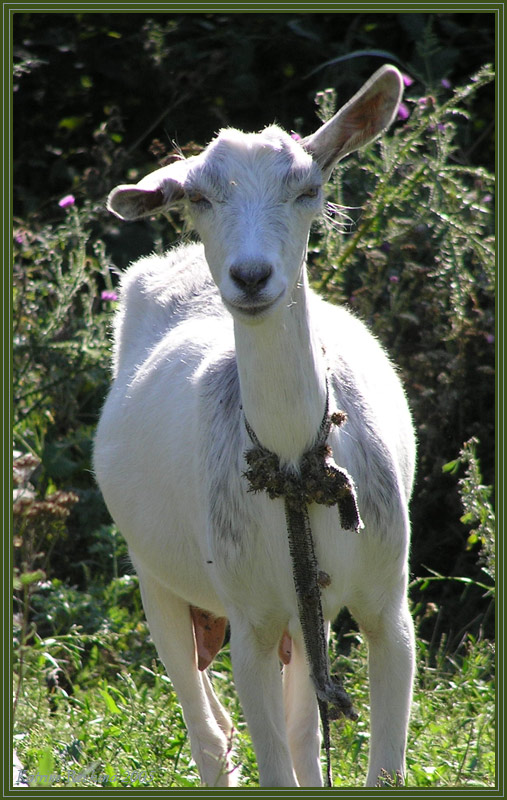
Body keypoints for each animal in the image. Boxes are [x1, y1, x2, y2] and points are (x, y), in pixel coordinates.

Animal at [94, 67, 416, 788]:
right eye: (199, 196)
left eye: (308, 188)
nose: (249, 276)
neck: (297, 465)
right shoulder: (250, 619)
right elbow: (270, 762)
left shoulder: (388, 602)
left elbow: (374, 763)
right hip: (153, 570)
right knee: (210, 733)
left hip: (304, 613)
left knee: (300, 733)